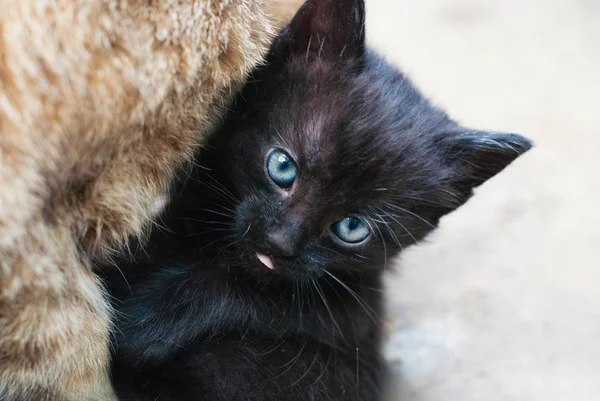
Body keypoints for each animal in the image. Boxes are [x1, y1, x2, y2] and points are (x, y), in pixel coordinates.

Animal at [106, 0, 528, 400]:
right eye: (282, 166)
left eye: (352, 227)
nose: (280, 242)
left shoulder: (355, 310)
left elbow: (275, 298)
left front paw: (139, 321)